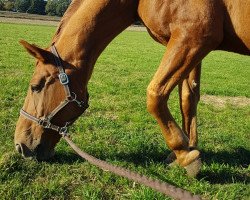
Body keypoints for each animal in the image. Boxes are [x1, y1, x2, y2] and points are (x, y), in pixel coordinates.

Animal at [14, 0, 249, 177]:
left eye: (35, 86)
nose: (20, 146)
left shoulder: (194, 36)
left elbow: (155, 95)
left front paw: (185, 155)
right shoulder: (192, 44)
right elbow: (188, 99)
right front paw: (188, 149)